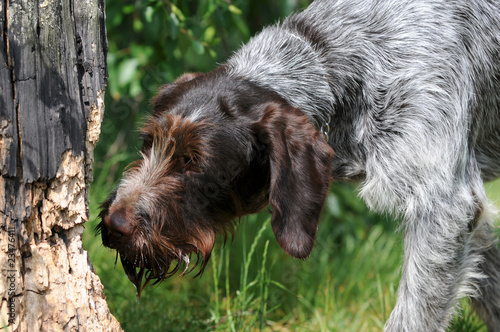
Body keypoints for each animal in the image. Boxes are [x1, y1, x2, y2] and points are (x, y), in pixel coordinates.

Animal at [96, 1, 500, 330]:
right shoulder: (470, 220)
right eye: (148, 144)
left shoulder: (444, 208)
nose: (115, 225)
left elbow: (414, 314)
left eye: (197, 164)